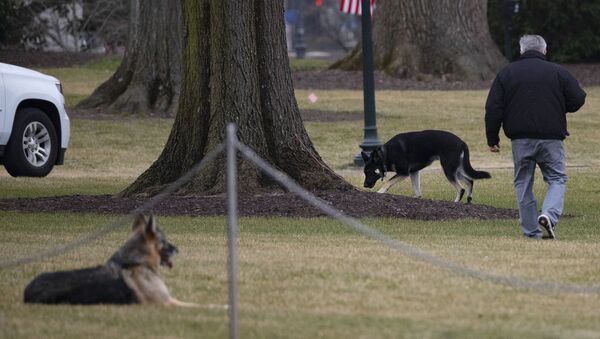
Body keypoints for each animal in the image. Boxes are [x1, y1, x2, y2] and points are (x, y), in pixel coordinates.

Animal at [360, 130, 492, 203]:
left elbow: (388, 182)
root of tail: (462, 143)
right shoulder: (413, 173)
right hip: (456, 170)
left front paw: (380, 192)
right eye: (365, 172)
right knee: (470, 181)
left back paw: (456, 203)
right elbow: (417, 190)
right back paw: (469, 200)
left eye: (369, 171)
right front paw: (417, 198)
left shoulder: (404, 173)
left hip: (448, 170)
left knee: (461, 188)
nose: (365, 185)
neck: (386, 154)